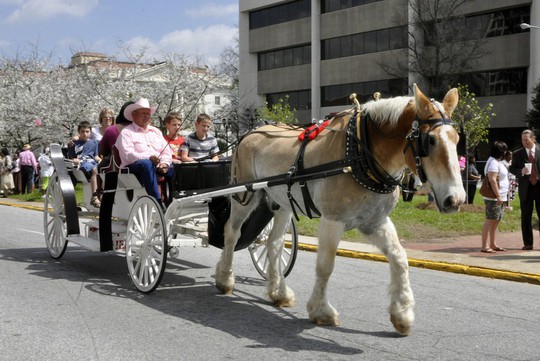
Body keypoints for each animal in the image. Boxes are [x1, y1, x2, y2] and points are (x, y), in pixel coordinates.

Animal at [215, 83, 464, 334]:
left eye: (456, 138)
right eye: (429, 140)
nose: (456, 200)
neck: (359, 153)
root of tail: (250, 133)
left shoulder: (375, 221)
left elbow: (400, 258)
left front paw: (402, 313)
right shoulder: (332, 219)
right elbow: (325, 265)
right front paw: (321, 311)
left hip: (282, 203)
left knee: (273, 244)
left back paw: (279, 292)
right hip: (245, 196)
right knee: (231, 233)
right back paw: (225, 279)